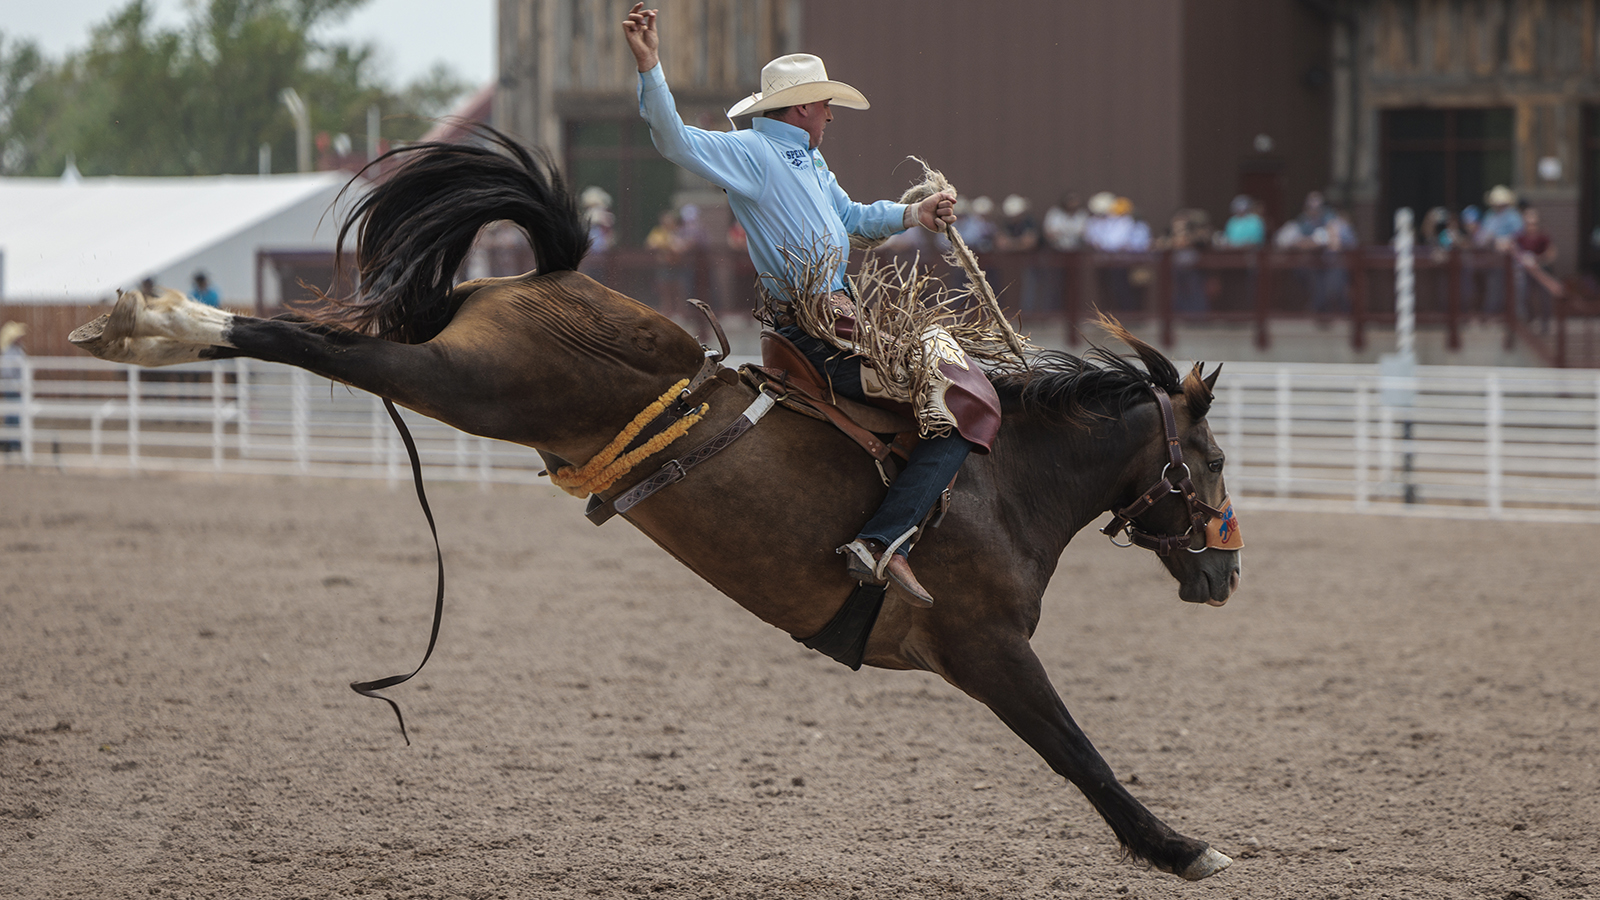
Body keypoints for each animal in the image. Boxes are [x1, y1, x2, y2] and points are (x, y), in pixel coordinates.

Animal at [72, 129, 1248, 877]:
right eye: (1213, 458)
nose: (1226, 570)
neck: (1000, 482)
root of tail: (549, 276)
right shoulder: (988, 649)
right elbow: (1078, 752)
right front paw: (1183, 847)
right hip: (470, 385)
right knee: (312, 343)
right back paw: (156, 324)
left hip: (460, 374)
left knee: (340, 339)